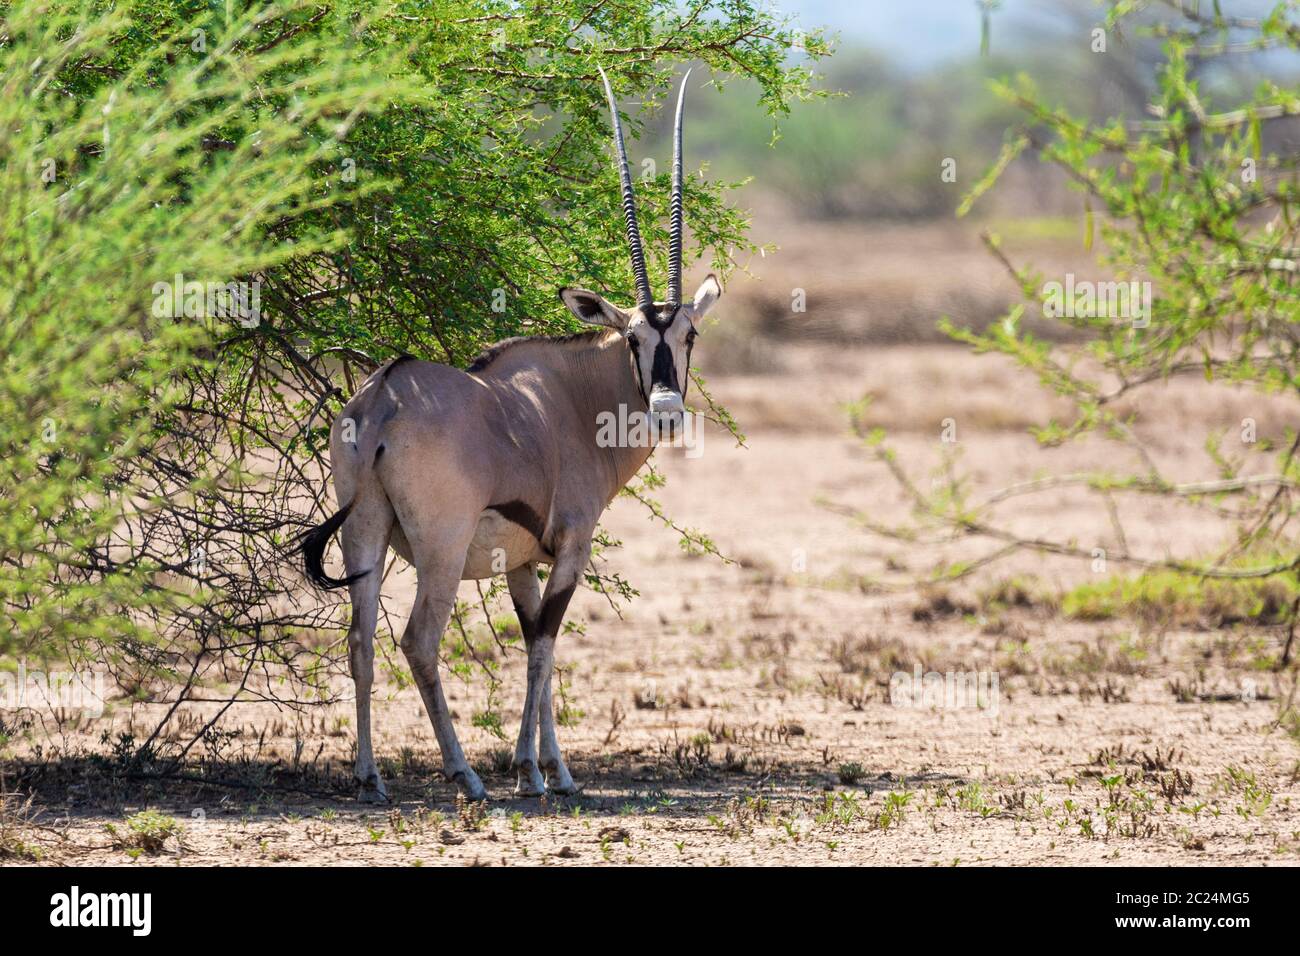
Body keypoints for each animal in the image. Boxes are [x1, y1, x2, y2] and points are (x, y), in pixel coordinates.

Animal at [301, 67, 722, 801]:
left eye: (688, 336)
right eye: (635, 338)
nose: (668, 408)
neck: (573, 399)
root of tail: (383, 399)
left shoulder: (521, 562)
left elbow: (531, 642)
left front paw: (544, 766)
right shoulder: (571, 546)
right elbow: (546, 643)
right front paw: (540, 772)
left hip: (366, 532)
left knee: (358, 640)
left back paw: (370, 776)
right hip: (440, 548)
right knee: (418, 641)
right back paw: (464, 774)